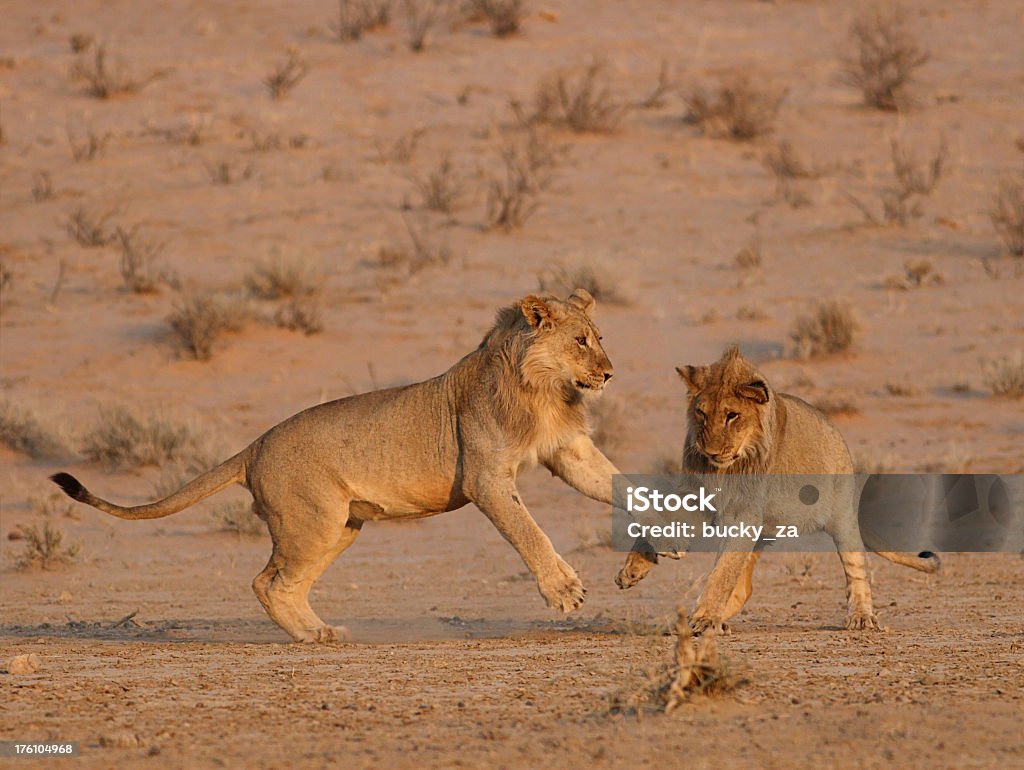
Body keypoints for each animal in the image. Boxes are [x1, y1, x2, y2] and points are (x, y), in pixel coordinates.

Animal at [51, 288, 618, 643]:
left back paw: (318, 631)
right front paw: (564, 591)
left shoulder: (568, 451)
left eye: (600, 336)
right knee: (267, 582)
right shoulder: (486, 478)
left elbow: (612, 482)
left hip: (340, 525)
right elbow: (529, 530)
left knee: (281, 581)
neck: (543, 388)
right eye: (581, 340)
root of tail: (255, 445)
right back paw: (310, 633)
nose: (610, 374)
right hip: (314, 522)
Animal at [610, 348, 937, 630]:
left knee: (857, 567)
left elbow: (723, 572)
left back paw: (861, 617)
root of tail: (836, 434)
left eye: (732, 415)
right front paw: (633, 569)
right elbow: (663, 526)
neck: (727, 469)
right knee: (745, 586)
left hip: (841, 517)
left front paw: (704, 618)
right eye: (701, 414)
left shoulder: (745, 515)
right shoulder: (695, 495)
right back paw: (717, 620)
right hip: (763, 532)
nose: (712, 451)